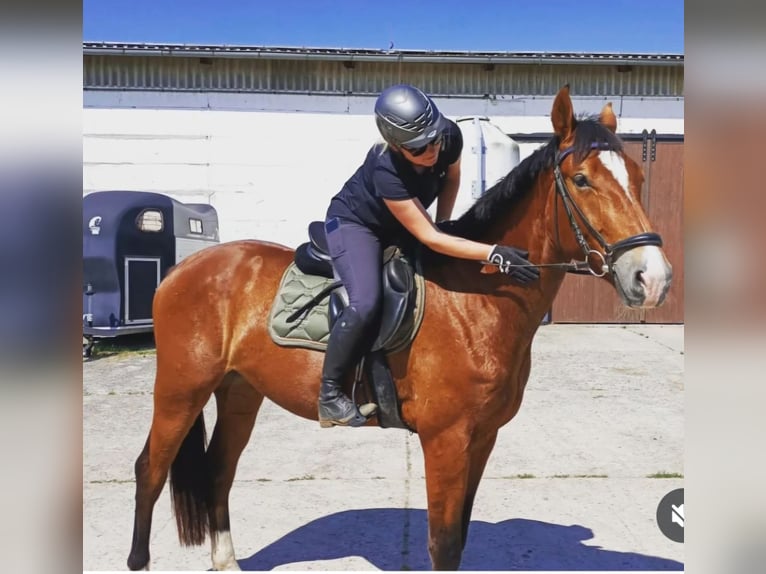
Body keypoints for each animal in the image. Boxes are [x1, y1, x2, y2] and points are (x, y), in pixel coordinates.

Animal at [124, 85, 672, 572]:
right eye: (581, 180)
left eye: (638, 175)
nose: (652, 278)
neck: (475, 298)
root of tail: (182, 269)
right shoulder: (446, 439)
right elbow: (444, 545)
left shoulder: (482, 437)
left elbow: (460, 539)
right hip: (180, 388)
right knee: (150, 469)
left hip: (240, 390)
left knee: (219, 470)